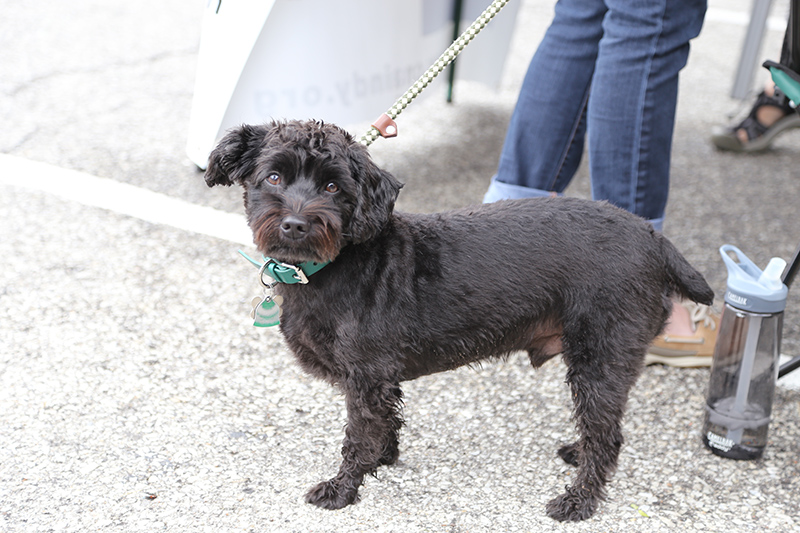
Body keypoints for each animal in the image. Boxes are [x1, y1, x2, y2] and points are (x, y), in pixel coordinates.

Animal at [205, 119, 712, 520]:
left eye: (333, 187)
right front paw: (383, 459)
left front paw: (344, 488)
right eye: (273, 176)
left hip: (600, 357)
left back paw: (577, 502)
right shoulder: (381, 379)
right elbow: (385, 422)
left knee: (607, 437)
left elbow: (358, 434)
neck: (332, 264)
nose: (294, 224)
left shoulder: (365, 376)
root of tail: (652, 237)